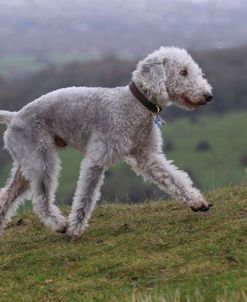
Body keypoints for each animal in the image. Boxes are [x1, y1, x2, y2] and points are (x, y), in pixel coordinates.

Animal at [0, 47, 212, 239]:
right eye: (183, 72)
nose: (209, 96)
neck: (135, 105)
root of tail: (14, 116)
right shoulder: (97, 158)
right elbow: (86, 195)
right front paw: (75, 229)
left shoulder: (147, 155)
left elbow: (172, 176)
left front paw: (196, 201)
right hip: (40, 159)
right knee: (40, 200)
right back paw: (59, 224)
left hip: (27, 162)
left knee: (7, 195)